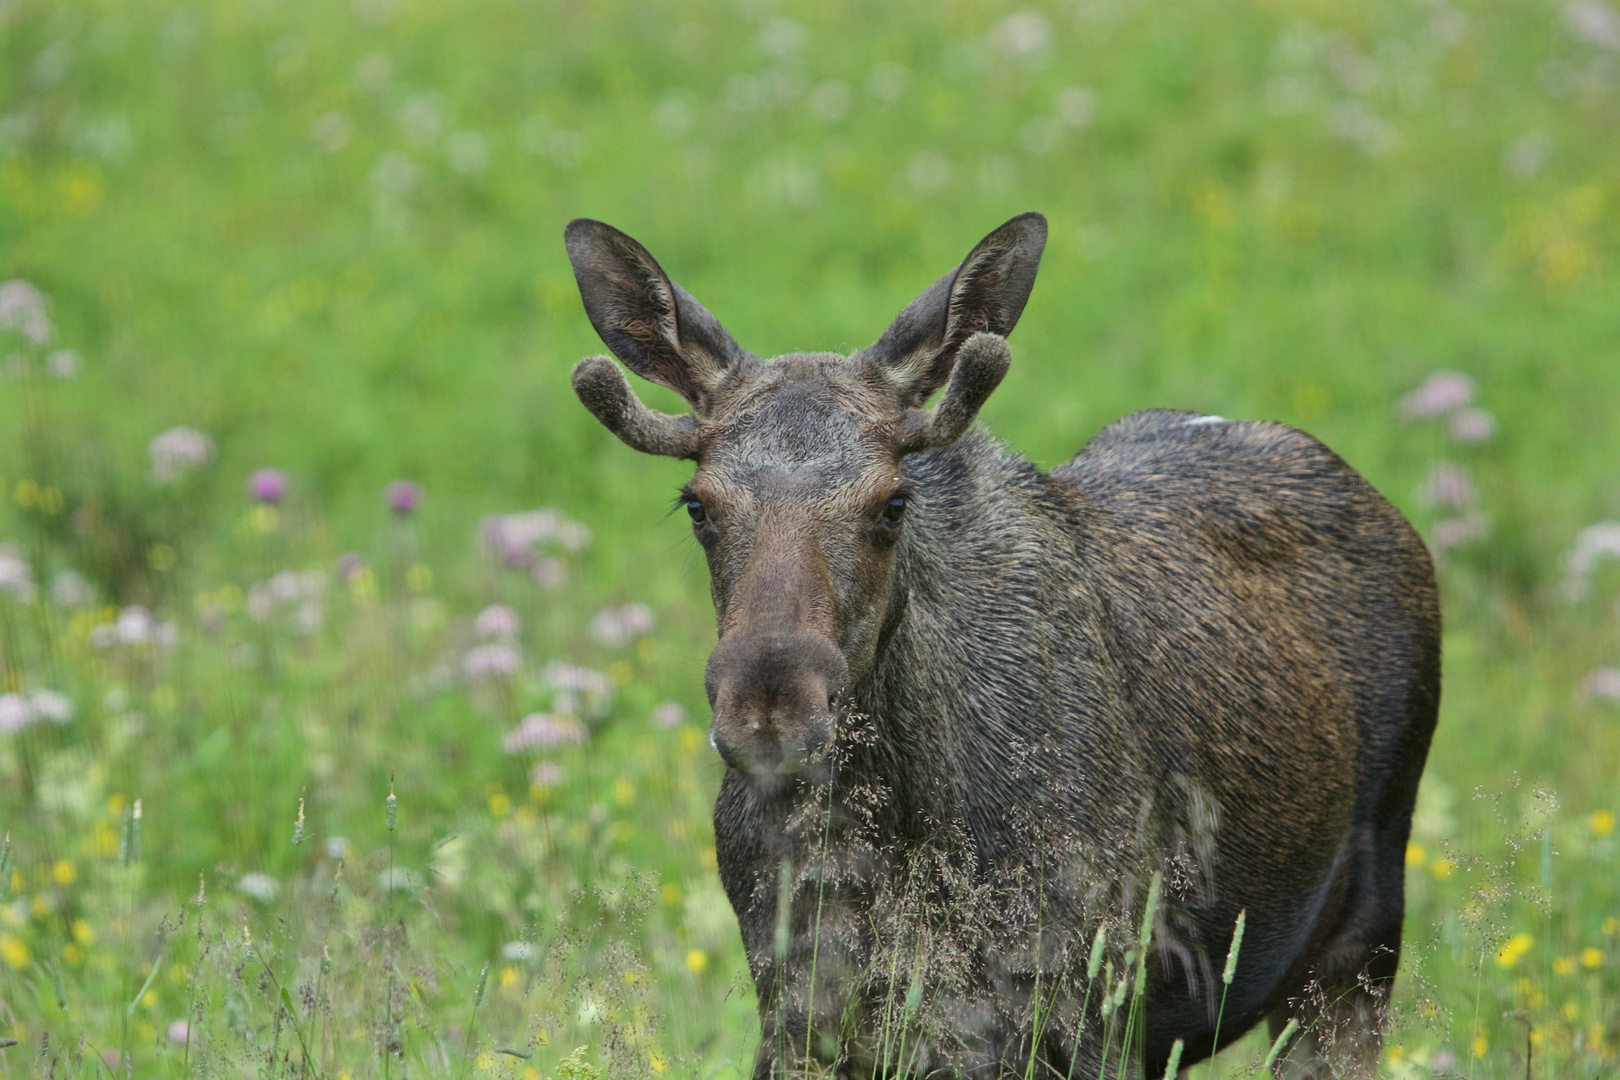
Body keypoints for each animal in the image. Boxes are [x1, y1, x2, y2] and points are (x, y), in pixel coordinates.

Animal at [563, 213, 1438, 1080]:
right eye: (698, 504)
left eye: (892, 502)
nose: (769, 707)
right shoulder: (801, 1011)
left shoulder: (1086, 1008)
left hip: (1357, 951)